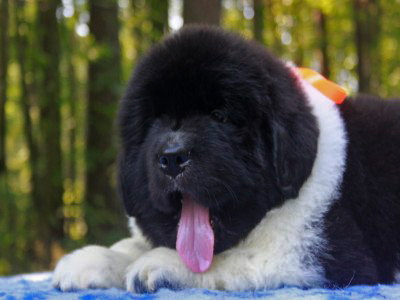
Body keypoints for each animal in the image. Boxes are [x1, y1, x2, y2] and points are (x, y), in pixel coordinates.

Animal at [53, 26, 400, 292]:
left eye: (220, 117)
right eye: (154, 123)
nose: (173, 157)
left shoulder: (328, 253)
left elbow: (238, 258)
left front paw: (160, 262)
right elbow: (132, 244)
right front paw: (91, 259)